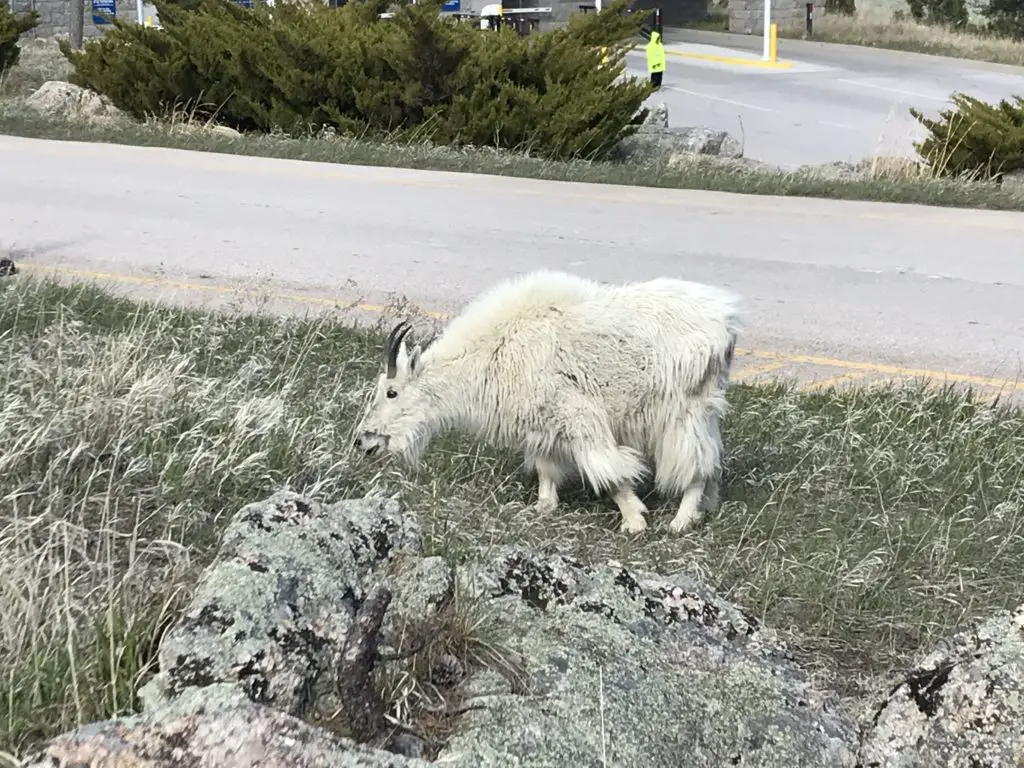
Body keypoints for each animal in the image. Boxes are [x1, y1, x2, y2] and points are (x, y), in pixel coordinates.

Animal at [354, 270, 745, 536]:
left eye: (391, 392)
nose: (363, 441)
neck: (495, 349)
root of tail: (727, 324)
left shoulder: (579, 417)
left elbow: (609, 471)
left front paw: (634, 520)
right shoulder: (542, 426)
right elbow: (546, 469)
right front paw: (543, 506)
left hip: (683, 411)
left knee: (695, 465)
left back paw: (681, 520)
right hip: (704, 409)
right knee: (711, 460)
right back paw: (704, 509)